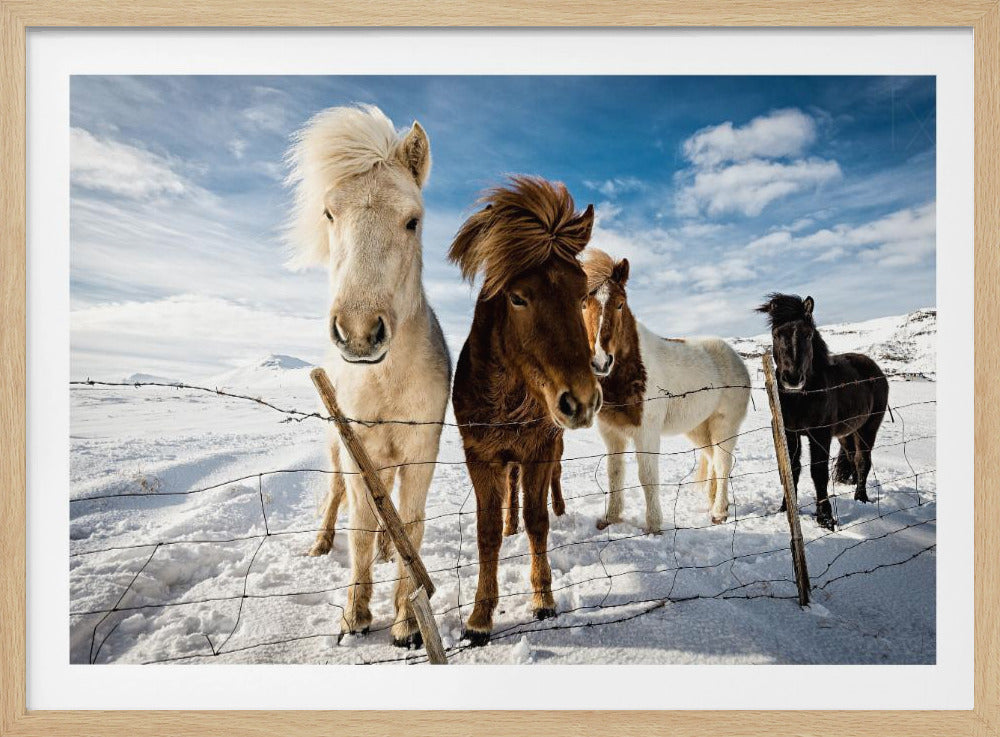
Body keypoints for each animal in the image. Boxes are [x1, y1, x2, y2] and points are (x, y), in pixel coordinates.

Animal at [286, 104, 451, 648]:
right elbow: (357, 526)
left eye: (412, 221)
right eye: (329, 213)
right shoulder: (358, 448)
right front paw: (354, 616)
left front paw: (406, 622)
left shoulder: (421, 451)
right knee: (338, 497)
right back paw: (321, 544)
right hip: (339, 450)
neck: (386, 382)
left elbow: (411, 523)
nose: (359, 333)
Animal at [449, 176, 601, 646]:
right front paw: (479, 617)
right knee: (511, 494)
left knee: (553, 484)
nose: (581, 400)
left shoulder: (538, 450)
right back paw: (509, 523)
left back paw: (560, 509)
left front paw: (543, 599)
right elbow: (486, 533)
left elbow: (538, 522)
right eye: (517, 298)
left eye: (582, 295)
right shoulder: (480, 456)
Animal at [582, 249, 751, 531]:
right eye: (583, 304)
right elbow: (614, 473)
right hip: (698, 428)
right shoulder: (611, 433)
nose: (600, 361)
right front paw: (610, 518)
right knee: (713, 460)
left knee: (723, 462)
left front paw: (653, 526)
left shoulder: (646, 432)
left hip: (724, 426)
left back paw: (719, 512)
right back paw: (713, 503)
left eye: (620, 304)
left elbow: (647, 476)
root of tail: (735, 357)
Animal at [756, 293, 889, 531]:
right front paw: (786, 509)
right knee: (852, 458)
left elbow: (818, 472)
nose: (792, 378)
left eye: (808, 334)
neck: (800, 398)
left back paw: (861, 498)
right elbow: (792, 470)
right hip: (847, 432)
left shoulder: (820, 434)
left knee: (863, 461)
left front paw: (825, 518)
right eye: (776, 334)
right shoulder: (789, 434)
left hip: (868, 428)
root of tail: (875, 369)